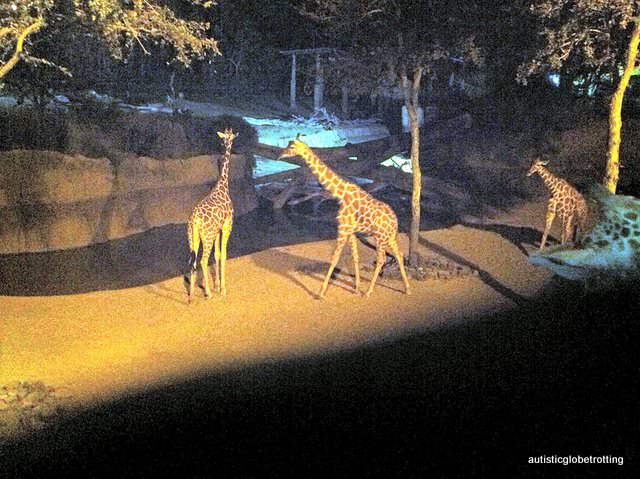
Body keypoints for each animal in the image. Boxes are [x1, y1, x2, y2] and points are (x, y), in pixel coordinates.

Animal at [187, 128, 237, 302]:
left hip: (193, 237)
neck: (222, 185)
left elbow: (217, 254)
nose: (224, 145)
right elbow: (224, 254)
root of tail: (194, 220)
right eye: (227, 138)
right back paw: (207, 293)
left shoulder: (217, 230)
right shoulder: (227, 225)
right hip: (206, 237)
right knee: (202, 260)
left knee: (192, 261)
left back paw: (191, 295)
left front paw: (217, 286)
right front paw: (222, 289)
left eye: (223, 139)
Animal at [279, 138, 411, 298]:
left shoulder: (343, 228)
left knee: (382, 259)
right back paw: (407, 289)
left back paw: (369, 291)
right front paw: (356, 287)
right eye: (287, 144)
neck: (341, 193)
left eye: (291, 146)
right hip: (390, 236)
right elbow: (355, 256)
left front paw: (321, 292)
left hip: (380, 237)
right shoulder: (350, 231)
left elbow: (334, 258)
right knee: (399, 254)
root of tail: (395, 222)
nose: (280, 155)